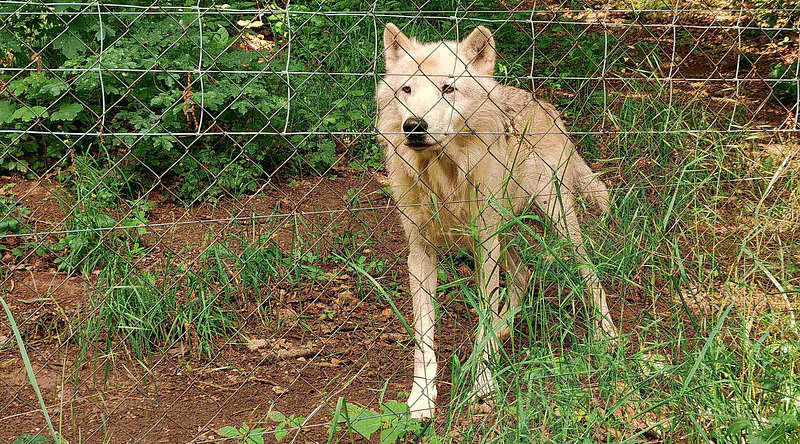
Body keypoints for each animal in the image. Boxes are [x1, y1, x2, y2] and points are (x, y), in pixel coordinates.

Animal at [376, 23, 620, 420]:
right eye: (406, 90)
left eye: (447, 88)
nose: (414, 126)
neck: (445, 176)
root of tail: (539, 101)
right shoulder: (421, 252)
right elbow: (423, 337)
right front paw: (422, 398)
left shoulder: (484, 246)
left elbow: (482, 317)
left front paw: (483, 385)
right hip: (504, 235)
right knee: (523, 275)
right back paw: (504, 329)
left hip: (555, 221)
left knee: (588, 271)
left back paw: (606, 334)